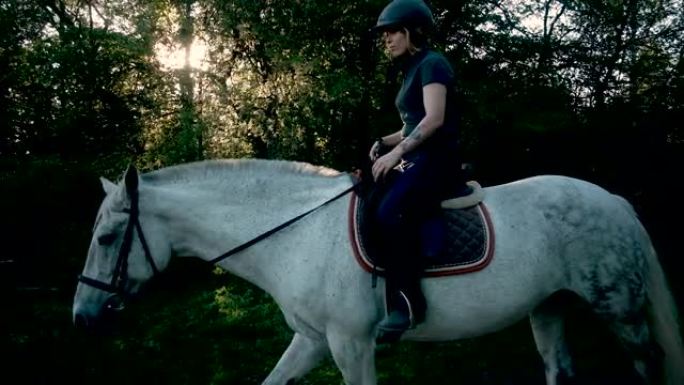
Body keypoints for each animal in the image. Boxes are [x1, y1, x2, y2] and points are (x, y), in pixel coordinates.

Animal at [72, 158, 680, 382]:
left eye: (106, 238)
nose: (81, 317)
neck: (296, 234)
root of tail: (614, 201)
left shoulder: (351, 345)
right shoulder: (312, 340)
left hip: (620, 310)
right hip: (549, 307)